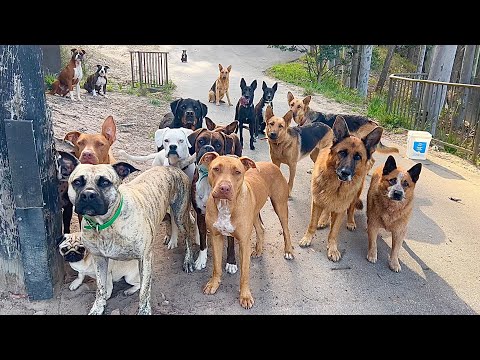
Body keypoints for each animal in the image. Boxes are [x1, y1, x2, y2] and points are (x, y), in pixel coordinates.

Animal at [202, 153, 294, 310]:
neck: (226, 206)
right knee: (261, 229)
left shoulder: (244, 243)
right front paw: (214, 284)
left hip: (280, 206)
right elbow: (216, 266)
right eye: (216, 169)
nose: (224, 188)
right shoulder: (216, 237)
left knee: (286, 229)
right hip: (255, 212)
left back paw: (288, 251)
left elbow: (244, 273)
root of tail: (272, 164)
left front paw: (245, 296)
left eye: (237, 172)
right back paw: (258, 250)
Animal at [300, 115, 382, 262]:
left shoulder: (340, 210)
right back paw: (323, 219)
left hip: (354, 196)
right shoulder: (316, 203)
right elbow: (312, 224)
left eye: (358, 157)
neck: (335, 186)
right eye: (342, 153)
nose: (345, 173)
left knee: (351, 209)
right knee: (327, 208)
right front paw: (307, 238)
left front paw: (332, 249)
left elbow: (333, 232)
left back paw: (350, 222)